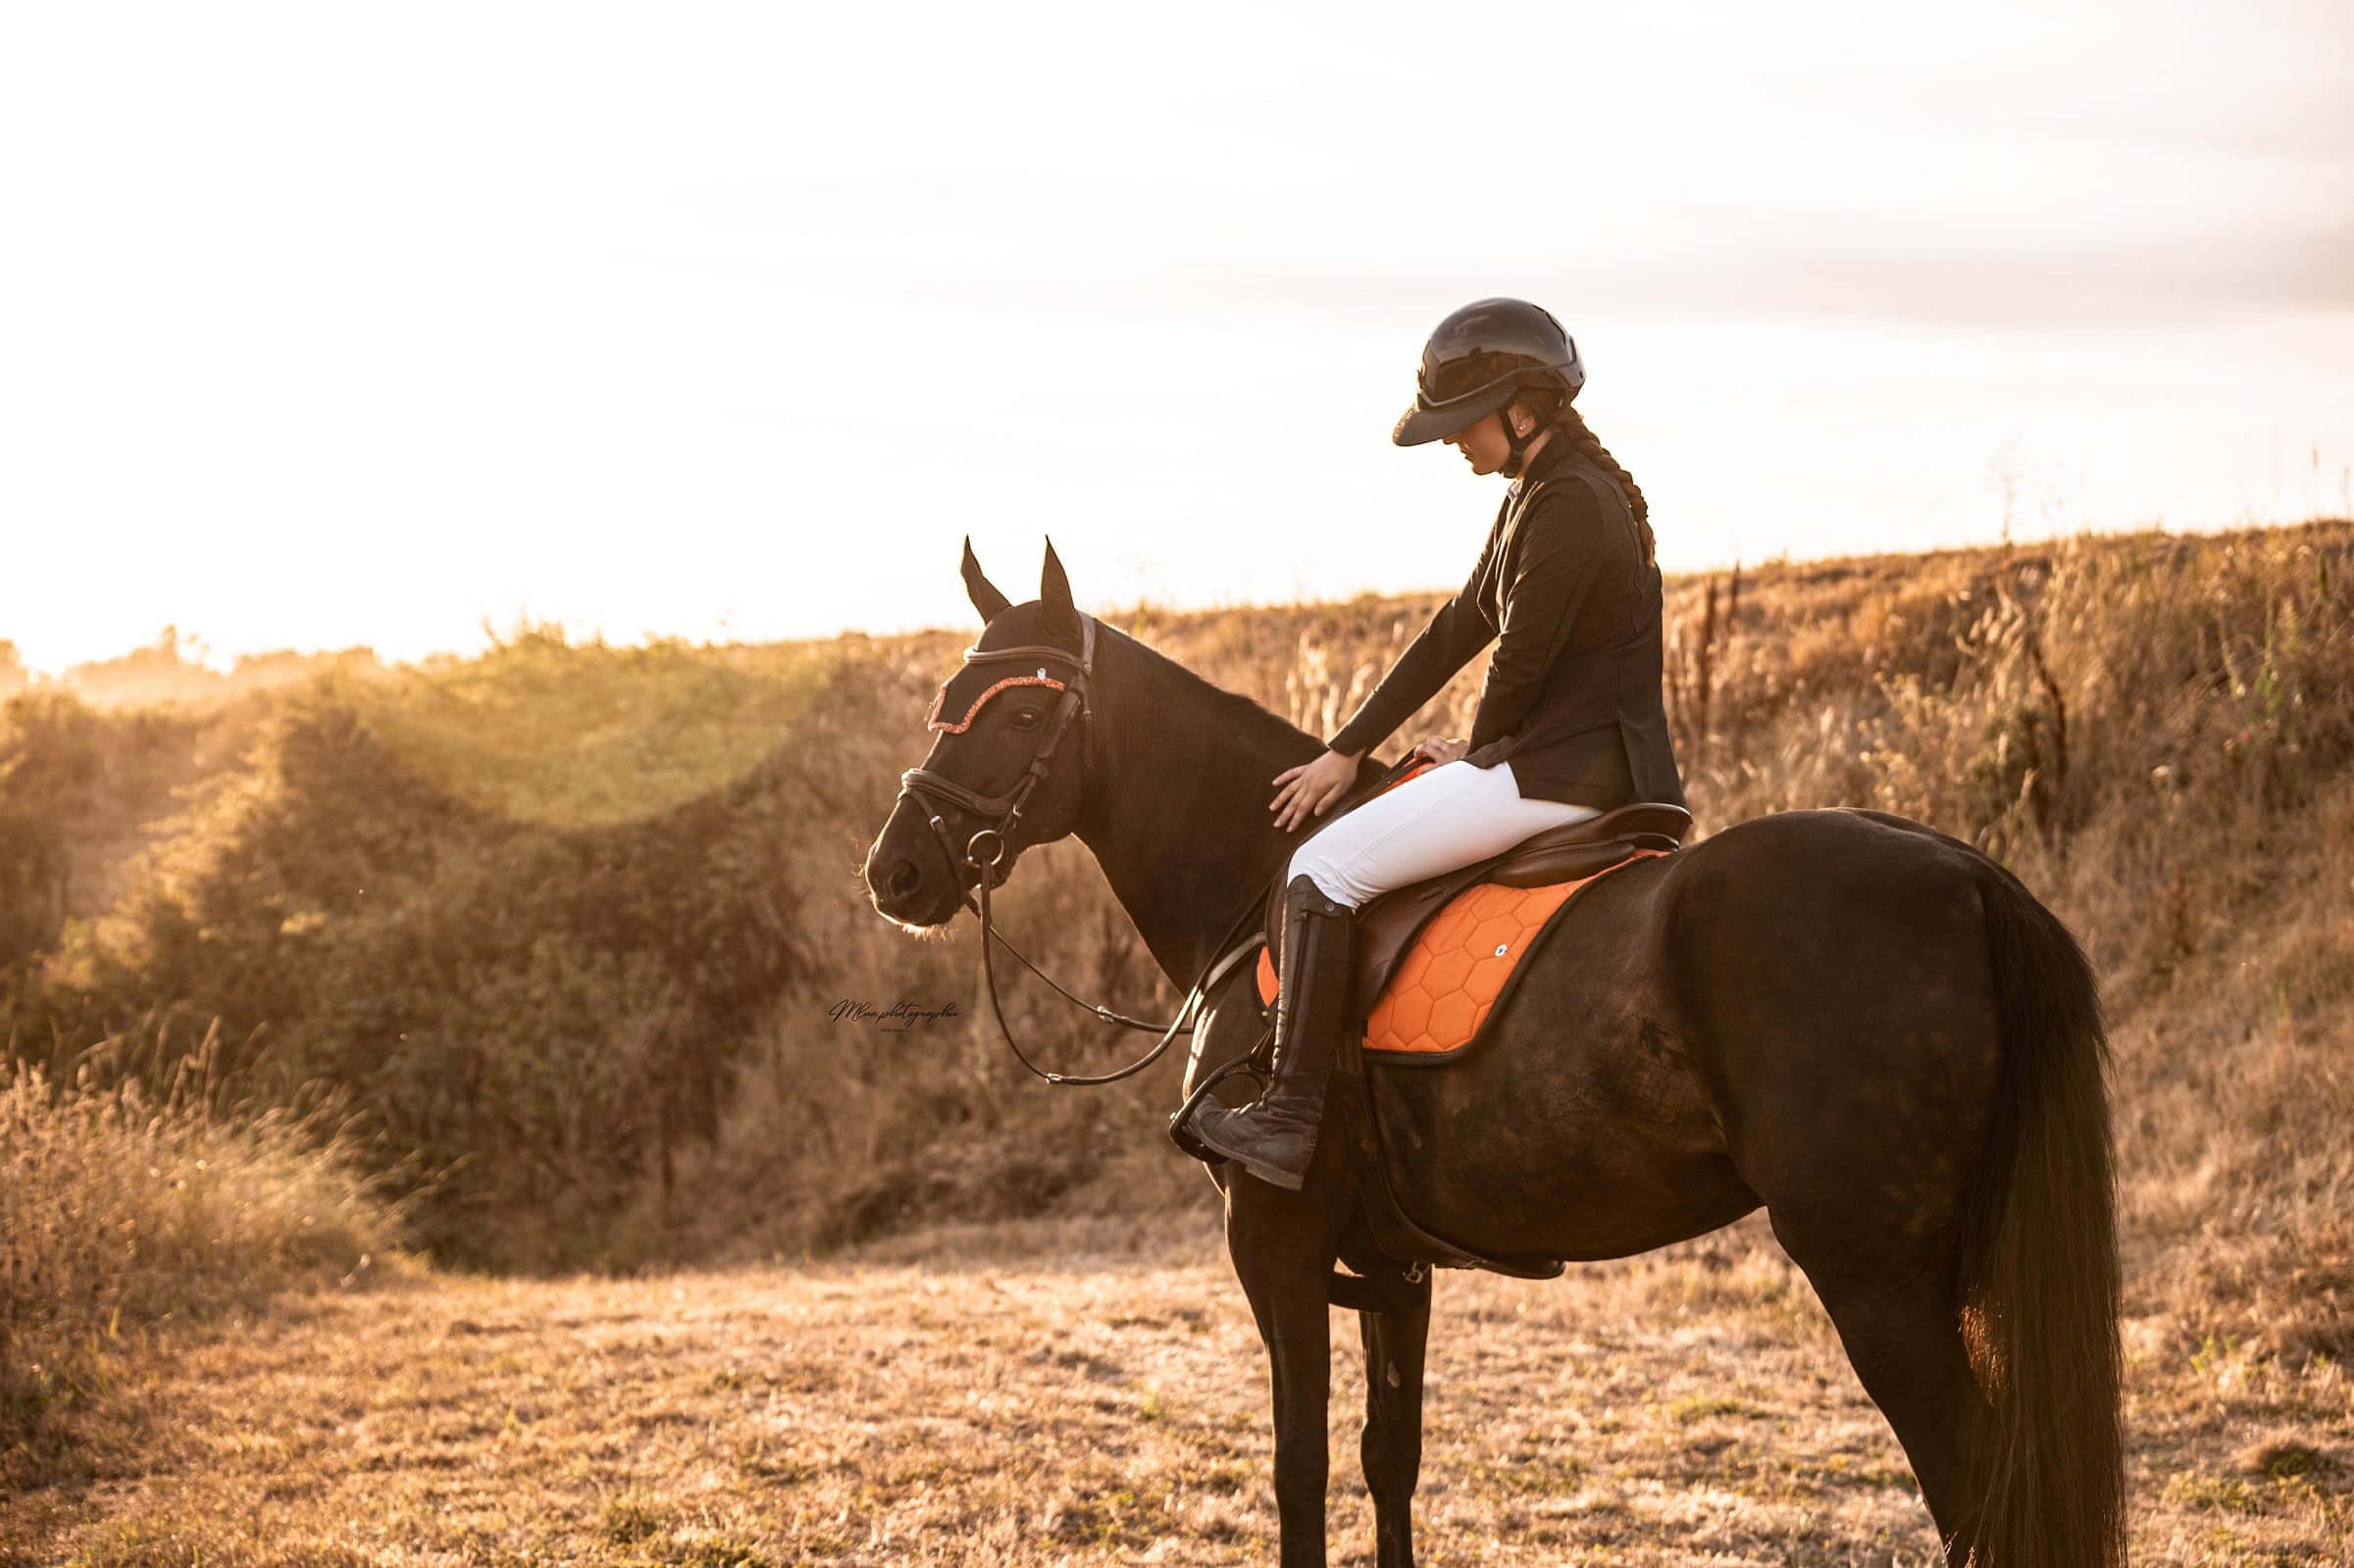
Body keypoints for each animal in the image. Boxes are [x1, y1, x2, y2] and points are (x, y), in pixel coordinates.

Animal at [861, 540, 2123, 1568]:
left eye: (1023, 718)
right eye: (946, 704)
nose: (896, 872)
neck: (1260, 889)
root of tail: (1968, 872)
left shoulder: (1275, 1245)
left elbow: (1299, 1471)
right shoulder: (1392, 1267)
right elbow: (1390, 1461)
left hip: (1876, 1277)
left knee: (1975, 1490)